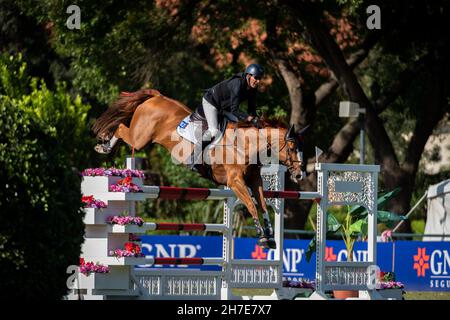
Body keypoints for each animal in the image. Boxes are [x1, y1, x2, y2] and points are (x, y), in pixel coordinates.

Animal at [93, 89, 308, 250]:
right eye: (291, 147)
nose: (299, 174)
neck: (245, 145)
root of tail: (157, 97)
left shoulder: (255, 181)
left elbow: (263, 205)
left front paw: (270, 237)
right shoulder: (235, 181)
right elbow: (251, 205)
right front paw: (262, 237)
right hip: (140, 138)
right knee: (121, 127)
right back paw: (104, 146)